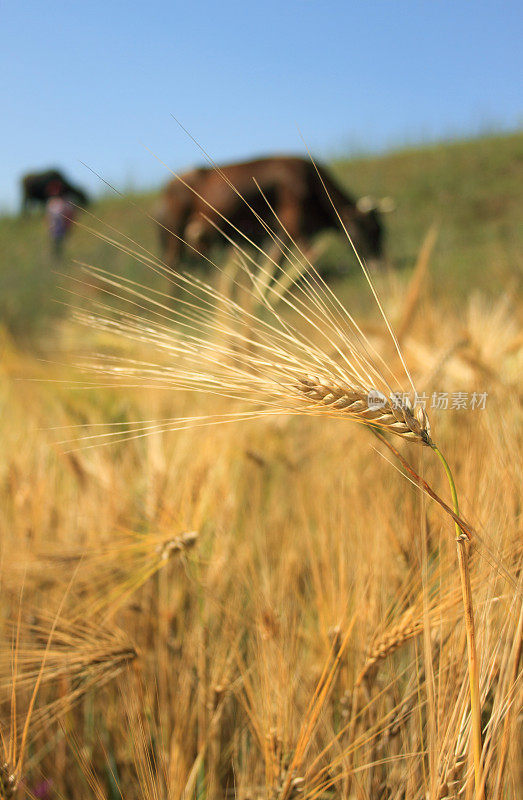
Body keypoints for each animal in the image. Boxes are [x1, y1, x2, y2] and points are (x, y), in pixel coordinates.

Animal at [156, 155, 384, 268]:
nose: (379, 265)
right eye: (367, 231)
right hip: (175, 231)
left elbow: (274, 262)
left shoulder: (279, 232)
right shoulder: (294, 224)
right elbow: (308, 259)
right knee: (173, 265)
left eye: (381, 232)